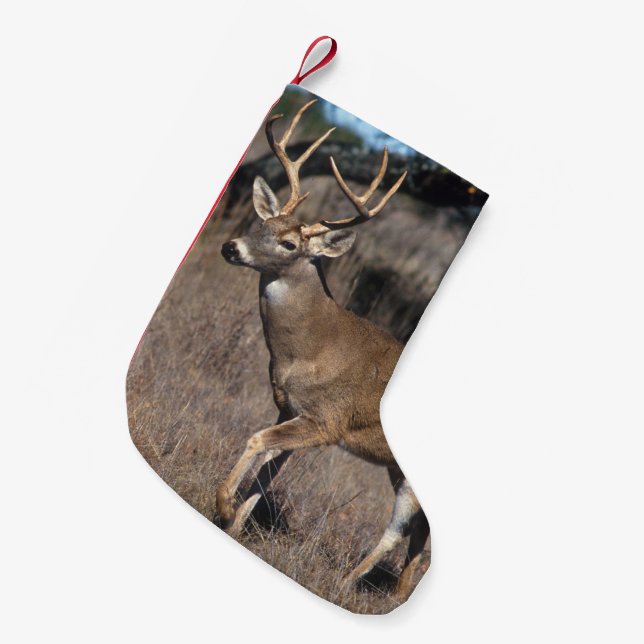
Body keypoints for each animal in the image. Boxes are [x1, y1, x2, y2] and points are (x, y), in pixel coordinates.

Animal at [216, 99, 429, 601]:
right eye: (263, 223)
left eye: (289, 243)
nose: (230, 247)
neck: (308, 350)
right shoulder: (288, 408)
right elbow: (268, 469)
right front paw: (234, 525)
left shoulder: (326, 421)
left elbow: (257, 442)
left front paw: (222, 502)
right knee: (420, 539)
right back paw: (392, 595)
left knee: (398, 530)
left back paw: (345, 582)